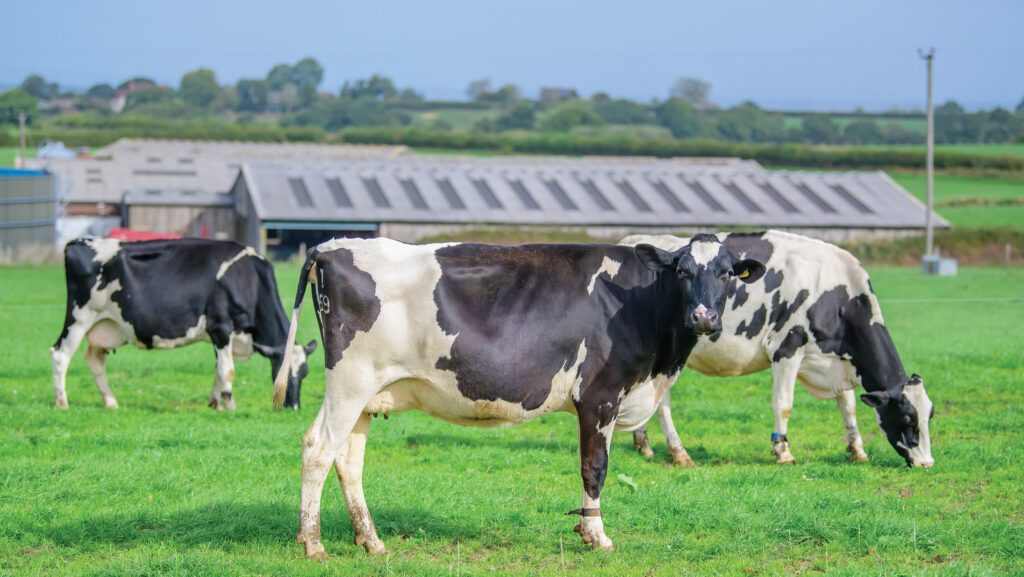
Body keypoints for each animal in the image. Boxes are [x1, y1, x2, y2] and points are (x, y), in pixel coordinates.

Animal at [51, 237, 317, 410]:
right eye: (284, 373)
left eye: (304, 373)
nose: (293, 407)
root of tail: (78, 242)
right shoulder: (220, 328)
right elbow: (227, 370)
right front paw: (230, 405)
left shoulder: (220, 336)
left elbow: (218, 369)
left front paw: (215, 403)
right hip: (79, 317)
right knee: (61, 355)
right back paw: (62, 403)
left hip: (105, 325)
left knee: (95, 359)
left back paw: (110, 402)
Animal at [271, 235, 765, 558]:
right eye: (682, 271)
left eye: (727, 274)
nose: (704, 317)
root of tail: (331, 246)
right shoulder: (600, 396)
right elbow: (595, 468)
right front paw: (596, 536)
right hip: (350, 381)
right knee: (318, 448)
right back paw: (312, 542)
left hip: (368, 394)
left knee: (347, 459)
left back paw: (371, 541)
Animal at [618, 230, 934, 468]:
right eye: (908, 417)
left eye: (929, 415)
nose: (927, 463)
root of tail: (632, 240)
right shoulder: (786, 348)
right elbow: (784, 404)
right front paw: (783, 451)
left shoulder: (835, 358)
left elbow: (848, 405)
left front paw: (857, 450)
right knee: (662, 404)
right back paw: (678, 452)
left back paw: (643, 445)